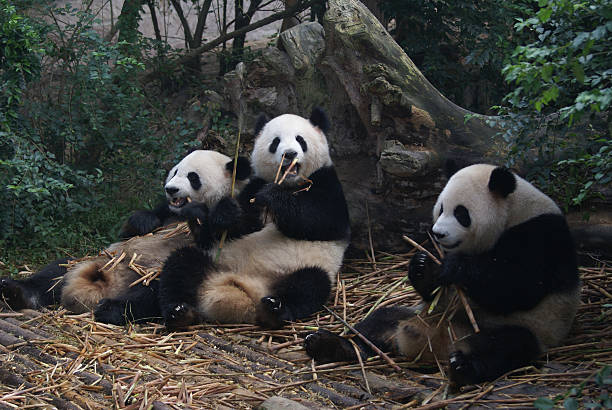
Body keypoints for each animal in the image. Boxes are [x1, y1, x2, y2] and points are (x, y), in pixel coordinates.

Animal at [0, 149, 253, 326]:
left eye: (193, 177)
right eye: (175, 171)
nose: (171, 189)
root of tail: (107, 285)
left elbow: (218, 235)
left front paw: (207, 216)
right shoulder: (166, 212)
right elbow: (134, 228)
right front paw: (144, 222)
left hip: (147, 275)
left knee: (151, 292)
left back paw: (111, 309)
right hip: (98, 258)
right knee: (55, 271)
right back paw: (15, 291)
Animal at [158, 108, 350, 330]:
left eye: (300, 140)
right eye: (275, 142)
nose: (289, 154)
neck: (289, 184)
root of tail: (243, 291)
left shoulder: (327, 182)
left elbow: (323, 221)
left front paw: (273, 197)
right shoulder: (253, 186)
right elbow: (232, 228)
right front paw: (224, 213)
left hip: (305, 267)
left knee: (309, 285)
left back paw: (274, 309)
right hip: (215, 261)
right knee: (180, 265)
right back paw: (179, 312)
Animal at [304, 164, 580, 388]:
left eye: (461, 213)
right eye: (441, 208)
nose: (437, 234)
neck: (513, 212)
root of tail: (437, 347)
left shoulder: (540, 235)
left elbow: (518, 287)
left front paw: (452, 267)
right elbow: (432, 289)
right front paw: (422, 266)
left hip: (529, 328)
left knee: (503, 347)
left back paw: (462, 367)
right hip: (418, 314)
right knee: (378, 322)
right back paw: (330, 344)